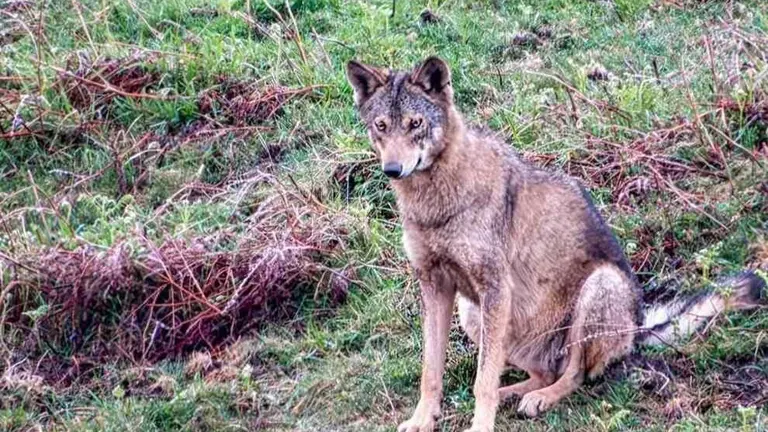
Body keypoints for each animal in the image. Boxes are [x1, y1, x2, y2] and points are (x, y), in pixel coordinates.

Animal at [346, 56, 765, 432]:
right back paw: (515, 393)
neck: (434, 204)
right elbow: (431, 373)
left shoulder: (494, 287)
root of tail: (638, 328)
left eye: (415, 124)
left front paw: (480, 426)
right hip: (473, 313)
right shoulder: (435, 286)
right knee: (539, 372)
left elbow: (482, 382)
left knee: (573, 375)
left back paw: (540, 399)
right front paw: (422, 420)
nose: (392, 169)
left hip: (595, 290)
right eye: (381, 126)